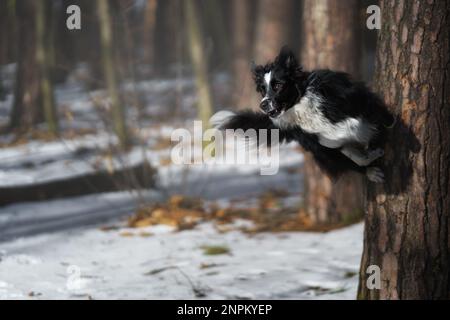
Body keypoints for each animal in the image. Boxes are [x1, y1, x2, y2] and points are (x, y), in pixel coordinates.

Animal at [211, 47, 394, 182]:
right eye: (262, 89)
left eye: (278, 85)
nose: (262, 105)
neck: (301, 104)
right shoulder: (316, 141)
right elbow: (336, 143)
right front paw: (367, 154)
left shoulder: (355, 99)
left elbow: (356, 121)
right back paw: (371, 170)